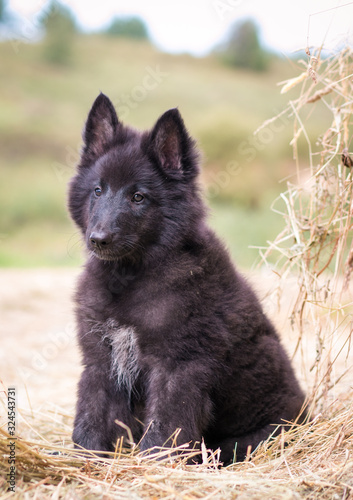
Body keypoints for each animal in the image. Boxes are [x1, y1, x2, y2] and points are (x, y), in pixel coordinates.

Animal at [69, 92, 306, 462]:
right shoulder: (100, 359)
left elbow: (164, 431)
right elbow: (90, 416)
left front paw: (154, 466)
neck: (131, 276)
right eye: (98, 190)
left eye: (138, 196)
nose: (99, 239)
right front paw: (86, 460)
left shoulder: (177, 367)